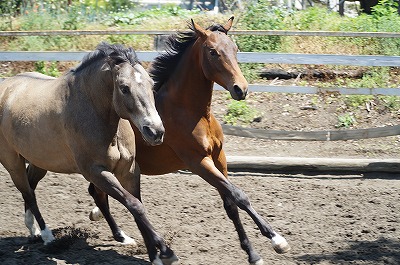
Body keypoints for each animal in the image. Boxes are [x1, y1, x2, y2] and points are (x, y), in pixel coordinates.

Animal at [0, 41, 168, 256]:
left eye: (151, 84)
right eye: (124, 88)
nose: (155, 131)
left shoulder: (128, 169)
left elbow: (133, 204)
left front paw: (149, 250)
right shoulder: (95, 172)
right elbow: (133, 204)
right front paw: (163, 250)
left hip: (40, 162)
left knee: (30, 187)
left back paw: (33, 230)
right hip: (12, 163)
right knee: (28, 192)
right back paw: (46, 235)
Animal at [87, 18, 290, 264]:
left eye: (235, 48)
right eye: (213, 52)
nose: (240, 89)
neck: (191, 111)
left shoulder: (218, 157)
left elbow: (230, 203)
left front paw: (252, 253)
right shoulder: (198, 162)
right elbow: (239, 195)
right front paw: (276, 239)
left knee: (100, 194)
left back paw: (121, 234)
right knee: (105, 195)